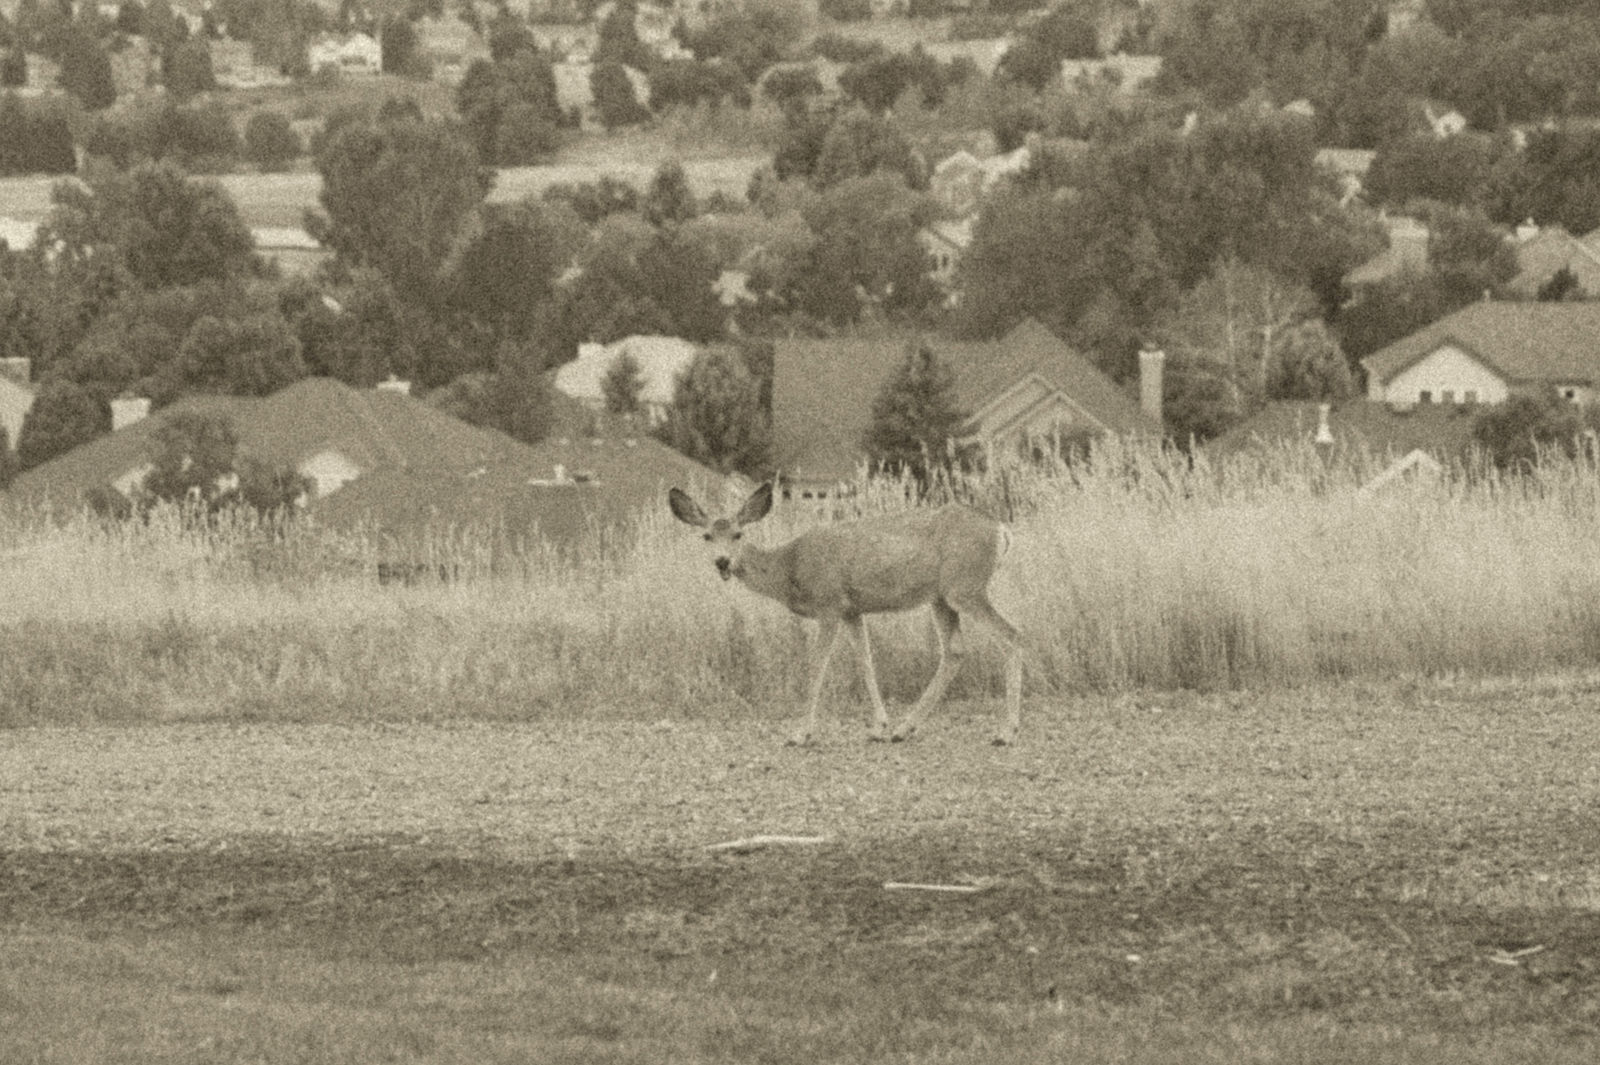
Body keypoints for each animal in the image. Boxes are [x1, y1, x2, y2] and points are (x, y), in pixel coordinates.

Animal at [667, 482, 1025, 747]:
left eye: (738, 534)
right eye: (707, 536)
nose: (723, 561)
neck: (789, 567)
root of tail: (1002, 529)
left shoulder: (829, 604)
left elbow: (817, 664)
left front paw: (800, 733)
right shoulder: (852, 609)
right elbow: (865, 661)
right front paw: (880, 727)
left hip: (965, 587)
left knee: (1012, 635)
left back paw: (1006, 732)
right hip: (941, 596)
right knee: (955, 651)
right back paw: (904, 729)